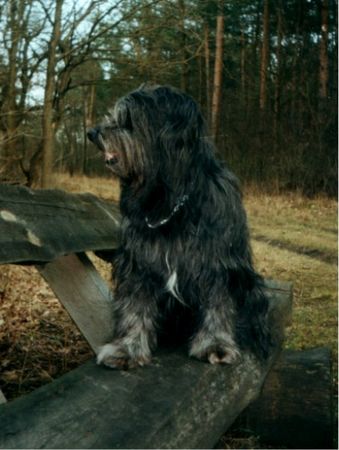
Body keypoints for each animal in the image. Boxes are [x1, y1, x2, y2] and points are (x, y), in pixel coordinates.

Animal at [87, 84, 270, 370]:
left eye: (129, 119)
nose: (92, 133)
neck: (169, 202)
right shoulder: (140, 262)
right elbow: (135, 305)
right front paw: (128, 347)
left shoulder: (217, 264)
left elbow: (218, 304)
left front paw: (215, 344)